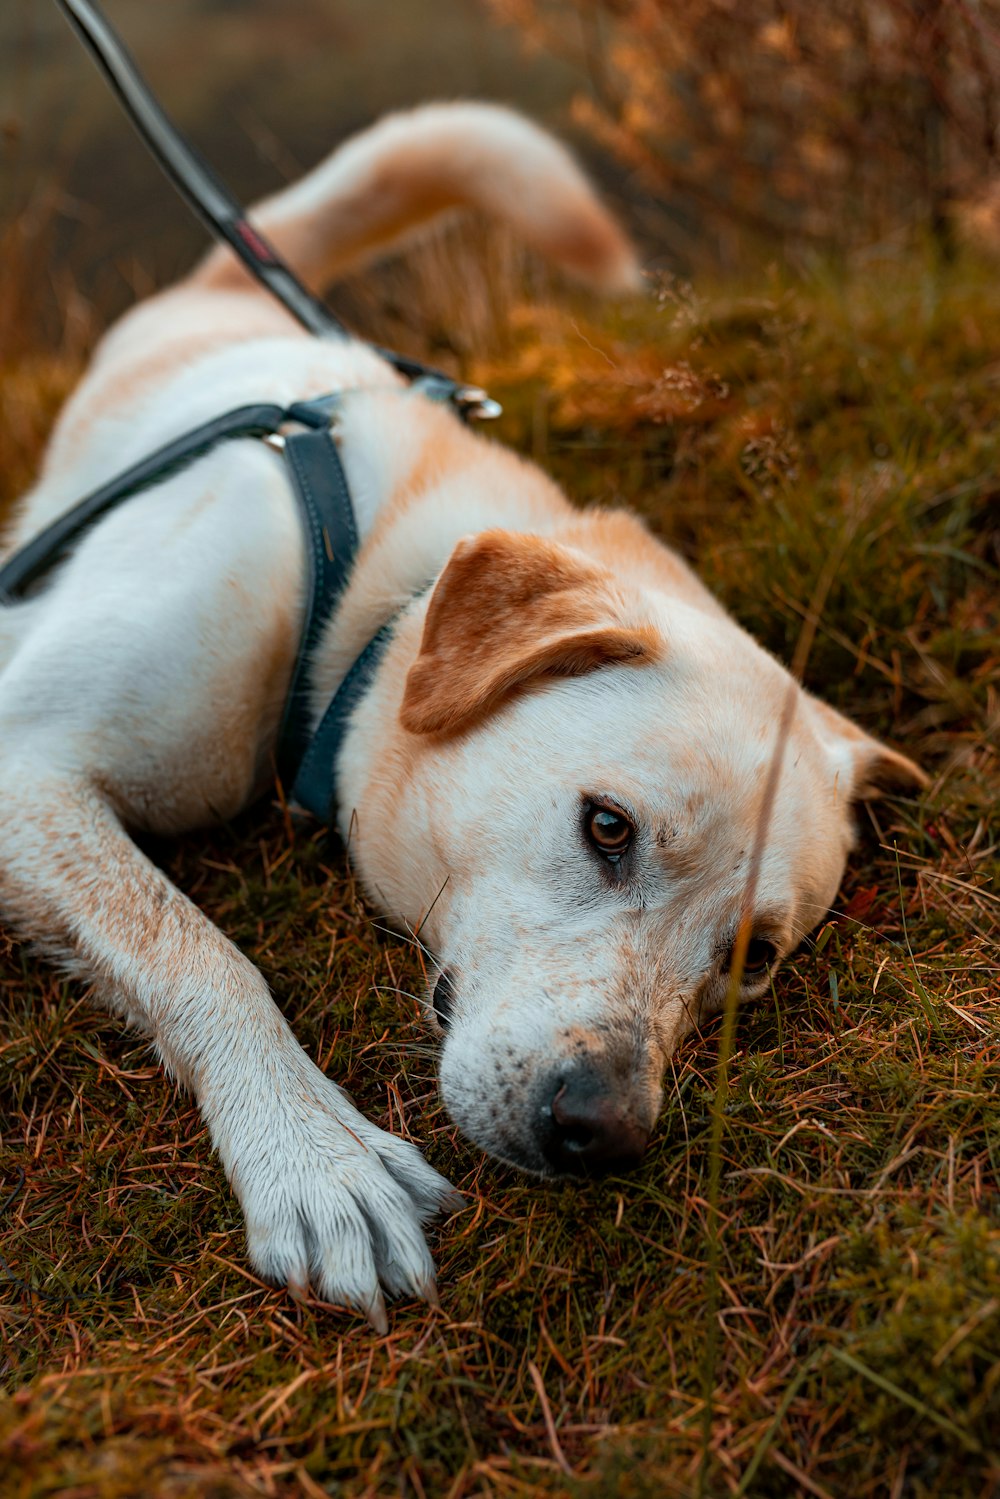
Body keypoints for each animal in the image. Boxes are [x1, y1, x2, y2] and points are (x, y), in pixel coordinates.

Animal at [0, 105, 923, 1325]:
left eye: (754, 956)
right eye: (607, 827)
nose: (604, 1130)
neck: (371, 596)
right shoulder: (27, 761)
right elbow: (199, 951)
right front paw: (316, 1158)